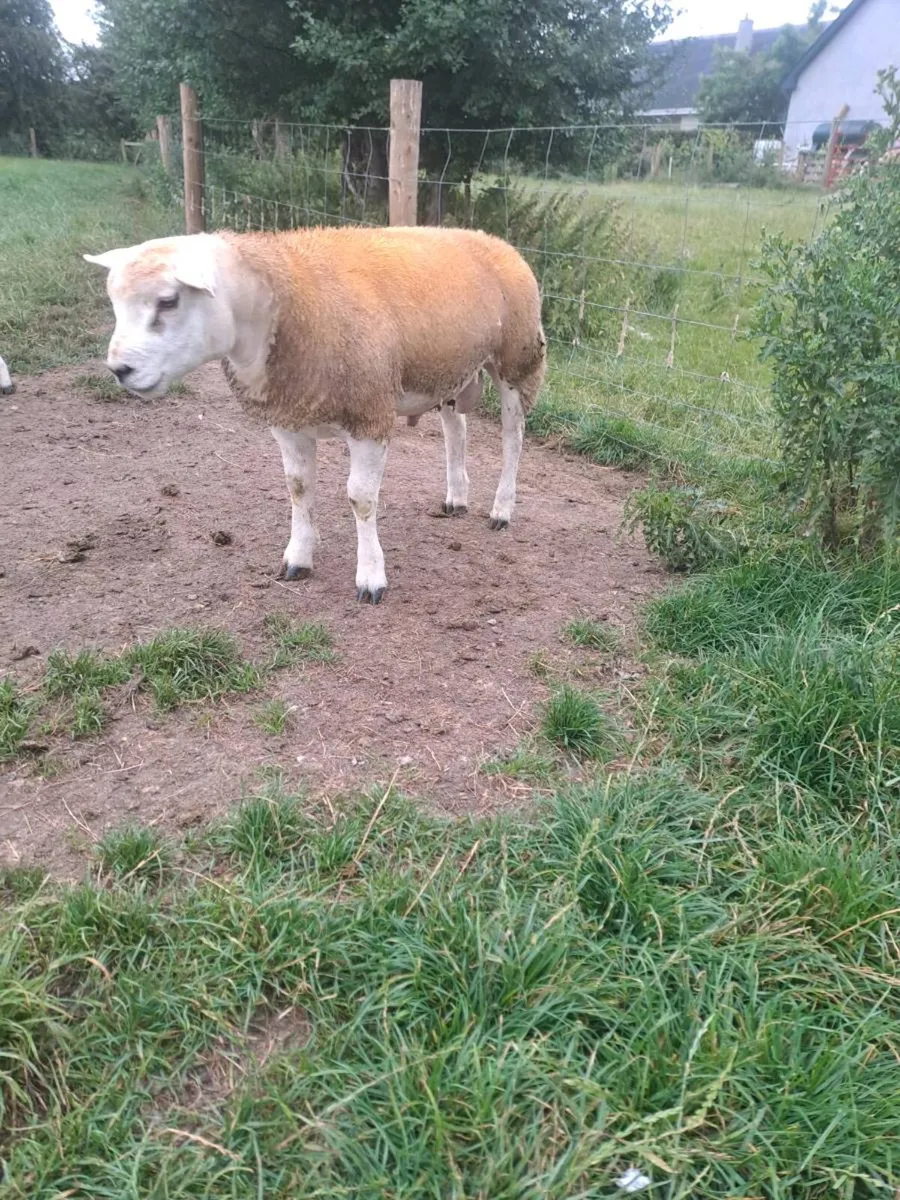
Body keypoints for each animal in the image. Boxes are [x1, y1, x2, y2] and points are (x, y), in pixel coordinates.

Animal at [83, 226, 546, 603]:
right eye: (114, 302)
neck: (278, 305)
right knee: (456, 429)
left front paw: (371, 578)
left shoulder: (369, 414)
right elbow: (298, 488)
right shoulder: (289, 418)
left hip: (518, 358)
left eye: (168, 300)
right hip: (449, 370)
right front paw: (298, 558)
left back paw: (501, 509)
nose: (119, 369)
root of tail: (493, 240)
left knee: (513, 439)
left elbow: (361, 498)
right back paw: (456, 497)